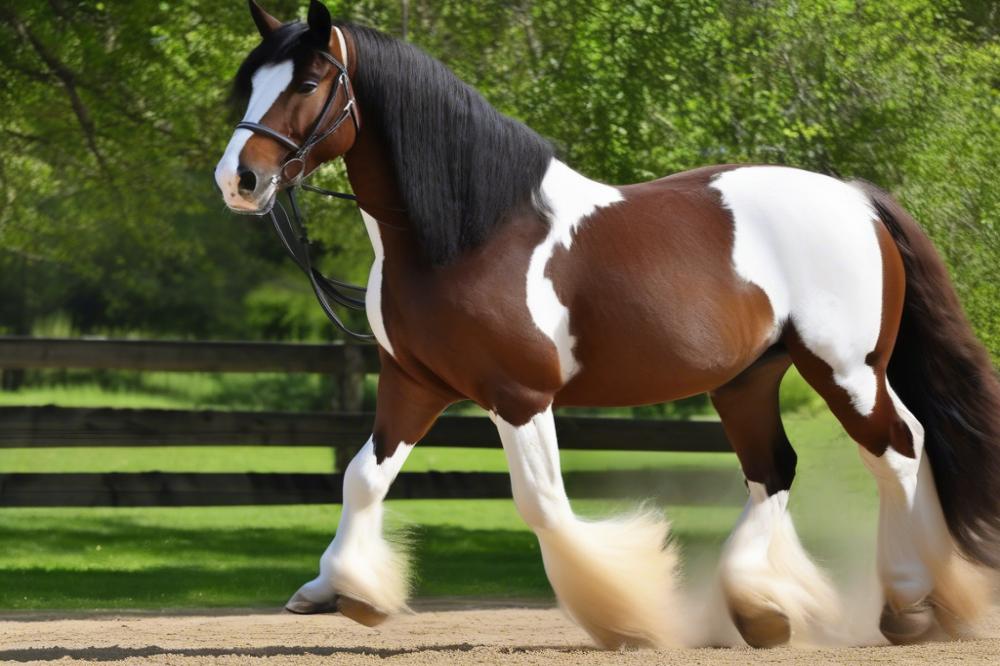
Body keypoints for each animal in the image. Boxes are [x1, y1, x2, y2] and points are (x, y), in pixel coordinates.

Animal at [217, 0, 1000, 644]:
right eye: (249, 84)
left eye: (307, 84)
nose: (239, 181)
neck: (471, 233)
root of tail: (858, 200)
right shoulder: (415, 383)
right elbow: (362, 477)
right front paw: (340, 589)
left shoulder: (519, 396)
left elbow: (544, 505)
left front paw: (622, 611)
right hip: (748, 380)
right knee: (777, 470)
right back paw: (765, 609)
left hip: (844, 371)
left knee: (898, 451)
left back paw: (910, 604)